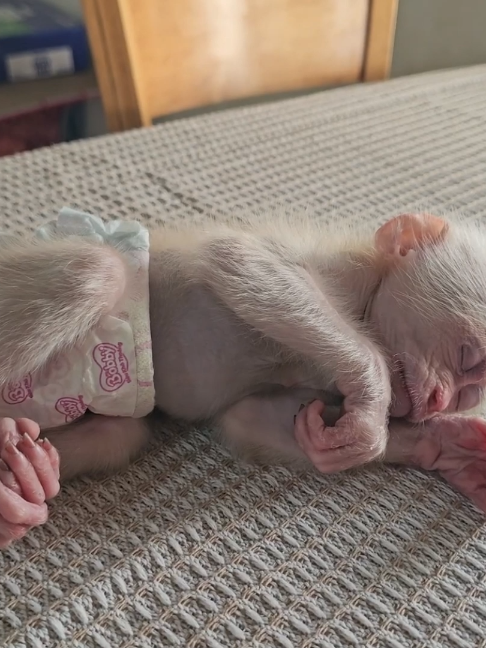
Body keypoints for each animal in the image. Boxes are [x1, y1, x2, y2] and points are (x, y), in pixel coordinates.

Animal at [1, 209, 486, 547]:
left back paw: (24, 484)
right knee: (96, 270)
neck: (365, 298)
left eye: (472, 393)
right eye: (469, 358)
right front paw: (371, 407)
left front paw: (444, 446)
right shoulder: (333, 266)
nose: (444, 401)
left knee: (119, 435)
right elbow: (238, 260)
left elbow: (247, 419)